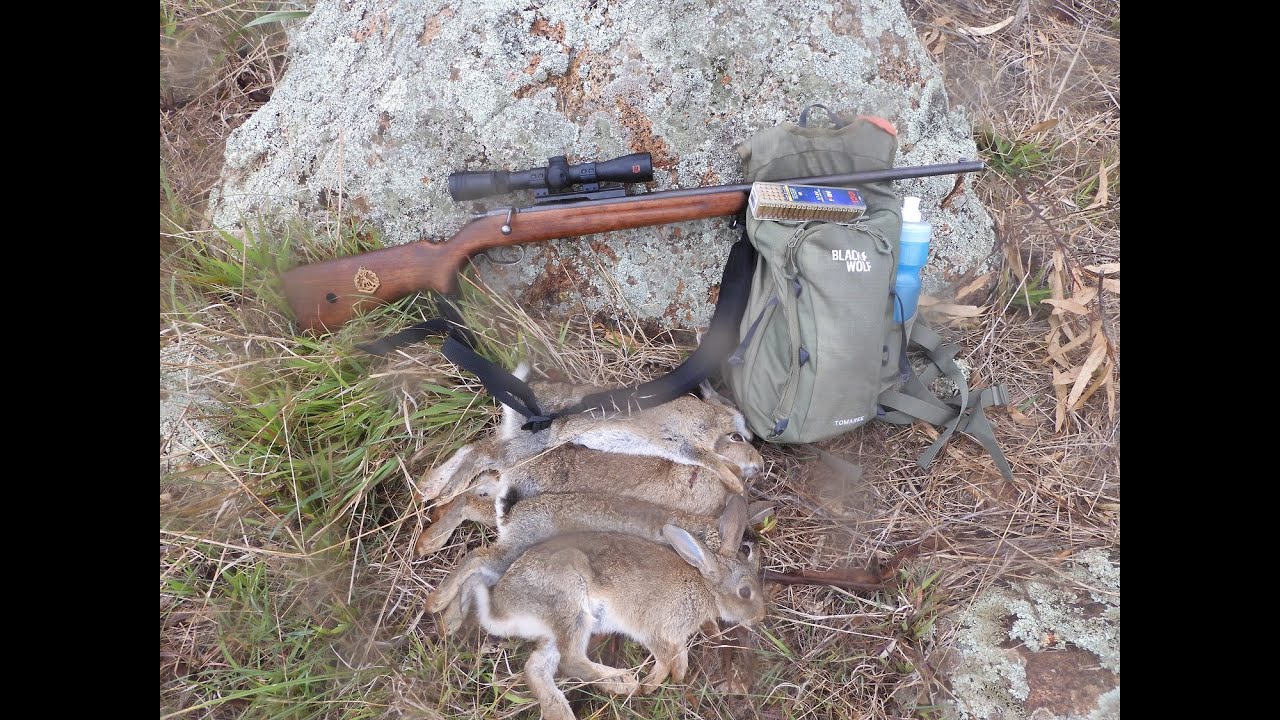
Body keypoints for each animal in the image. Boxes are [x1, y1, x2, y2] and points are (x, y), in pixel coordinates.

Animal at [413, 438, 763, 557]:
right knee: (480, 456)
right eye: (737, 437)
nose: (759, 463)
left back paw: (432, 508)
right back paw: (436, 495)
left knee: (475, 484)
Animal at [425, 494, 756, 632]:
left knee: (470, 507)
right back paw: (436, 601)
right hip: (511, 550)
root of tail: (511, 516)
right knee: (477, 557)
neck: (705, 540)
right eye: (746, 550)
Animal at [464, 499, 766, 720]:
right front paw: (652, 684)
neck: (705, 587)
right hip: (571, 602)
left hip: (555, 628)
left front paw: (679, 675)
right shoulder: (654, 630)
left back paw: (561, 712)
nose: (760, 616)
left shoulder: (675, 636)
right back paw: (625, 682)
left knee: (537, 668)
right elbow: (665, 658)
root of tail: (503, 607)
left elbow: (678, 655)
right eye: (745, 592)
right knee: (571, 660)